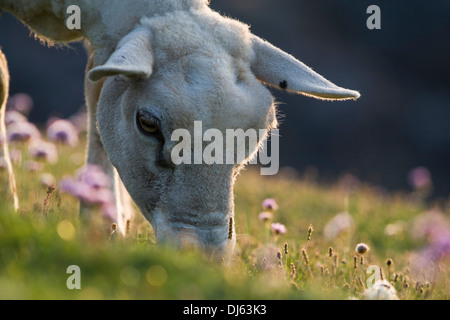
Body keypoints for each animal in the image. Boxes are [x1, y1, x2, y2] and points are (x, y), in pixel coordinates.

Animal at [0, 0, 358, 258]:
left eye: (262, 134)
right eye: (147, 123)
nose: (201, 256)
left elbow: (97, 96)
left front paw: (102, 224)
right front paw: (7, 200)